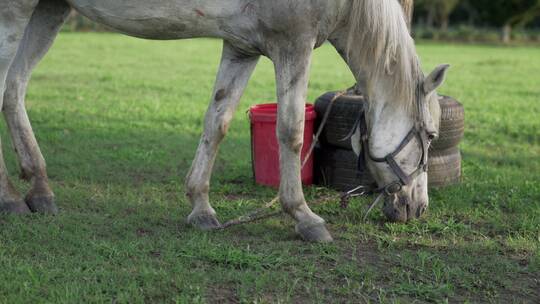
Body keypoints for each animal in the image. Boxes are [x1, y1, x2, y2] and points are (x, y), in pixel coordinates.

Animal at [0, 0, 448, 242]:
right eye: (430, 134)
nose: (418, 208)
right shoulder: (293, 45)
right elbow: (290, 132)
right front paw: (303, 217)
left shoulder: (240, 48)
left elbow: (217, 122)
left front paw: (200, 208)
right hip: (14, 12)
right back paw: (10, 198)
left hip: (49, 10)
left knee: (14, 89)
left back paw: (40, 190)